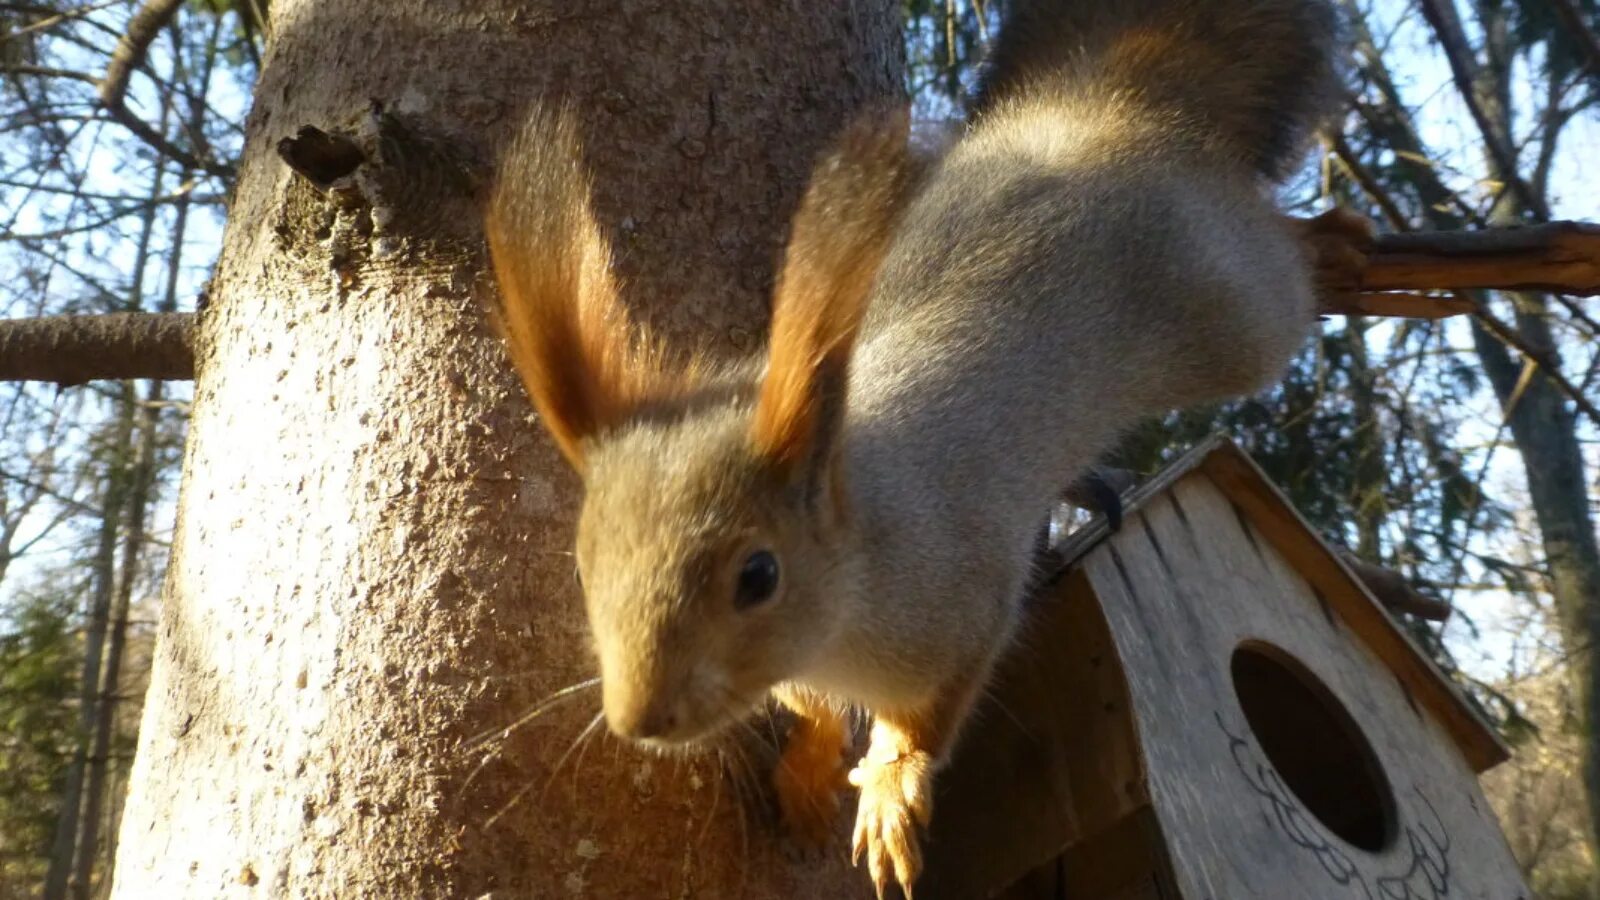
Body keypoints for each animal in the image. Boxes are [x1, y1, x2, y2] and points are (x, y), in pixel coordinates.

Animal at [480, 0, 1369, 890]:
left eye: (758, 576)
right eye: (584, 563)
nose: (638, 719)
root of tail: (1099, 115)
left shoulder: (962, 597)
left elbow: (932, 713)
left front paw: (890, 789)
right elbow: (808, 709)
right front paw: (811, 765)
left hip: (1230, 305)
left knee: (1281, 261)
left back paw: (1349, 247)